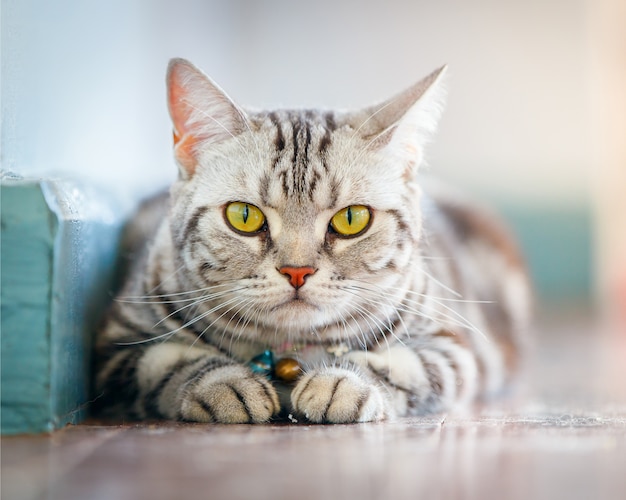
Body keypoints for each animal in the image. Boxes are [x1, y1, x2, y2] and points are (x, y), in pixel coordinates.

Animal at [92, 59, 528, 426]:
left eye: (352, 219)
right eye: (244, 216)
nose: (297, 271)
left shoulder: (452, 349)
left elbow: (399, 367)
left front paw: (341, 383)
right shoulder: (116, 346)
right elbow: (167, 364)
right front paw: (225, 385)